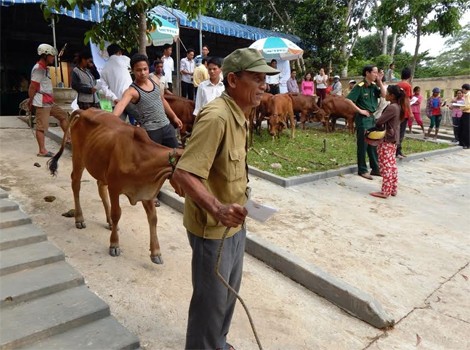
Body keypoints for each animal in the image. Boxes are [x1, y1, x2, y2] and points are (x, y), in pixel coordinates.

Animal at [47, 108, 183, 264]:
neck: (141, 156)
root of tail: (84, 110)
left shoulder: (146, 191)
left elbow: (153, 218)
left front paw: (156, 253)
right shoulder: (115, 188)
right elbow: (117, 213)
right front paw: (114, 244)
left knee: (100, 187)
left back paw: (110, 223)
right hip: (78, 157)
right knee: (76, 184)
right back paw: (79, 219)